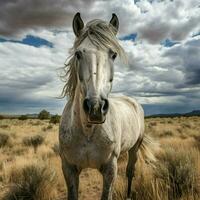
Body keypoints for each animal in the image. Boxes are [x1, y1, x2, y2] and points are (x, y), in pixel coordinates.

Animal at [58, 12, 155, 200]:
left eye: (113, 55)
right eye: (78, 54)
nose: (95, 107)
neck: (88, 131)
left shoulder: (110, 169)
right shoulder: (68, 169)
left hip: (134, 148)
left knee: (130, 171)